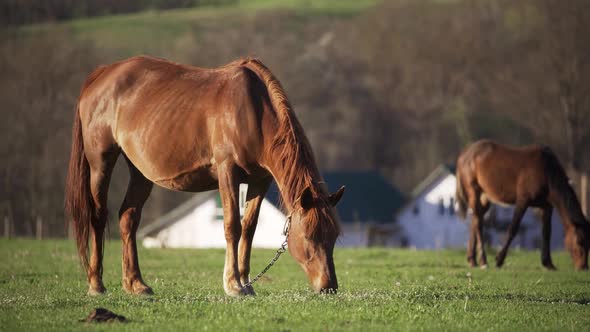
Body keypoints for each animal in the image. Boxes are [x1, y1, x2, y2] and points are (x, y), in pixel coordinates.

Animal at [65, 55, 346, 296]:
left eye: (333, 236)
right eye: (309, 237)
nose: (328, 286)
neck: (253, 111)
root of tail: (102, 74)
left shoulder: (259, 180)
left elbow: (249, 228)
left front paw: (246, 283)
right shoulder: (228, 172)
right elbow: (232, 225)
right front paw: (233, 285)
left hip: (140, 172)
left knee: (128, 219)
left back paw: (135, 284)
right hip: (100, 163)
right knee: (99, 216)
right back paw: (96, 284)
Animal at [458, 139, 590, 272]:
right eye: (579, 242)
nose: (583, 267)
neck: (546, 171)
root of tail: (465, 154)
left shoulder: (547, 207)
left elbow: (546, 233)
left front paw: (548, 263)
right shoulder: (523, 201)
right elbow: (513, 229)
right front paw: (499, 260)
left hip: (485, 196)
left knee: (476, 220)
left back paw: (473, 260)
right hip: (474, 191)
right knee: (478, 224)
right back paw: (483, 260)